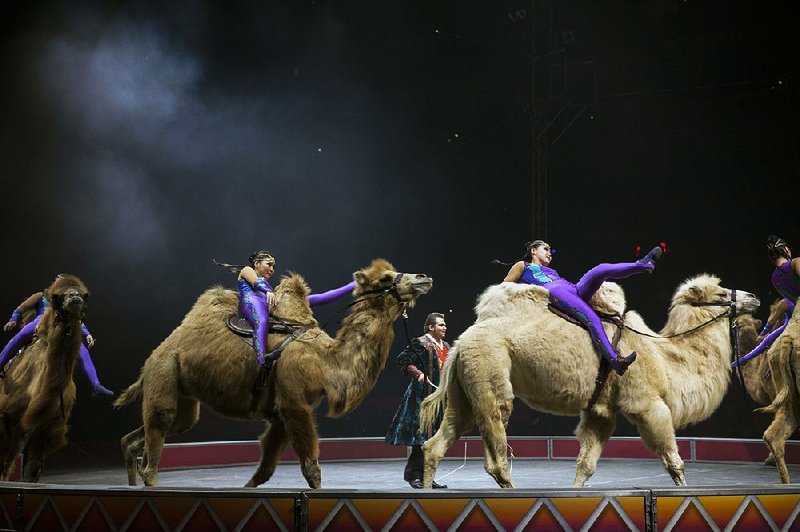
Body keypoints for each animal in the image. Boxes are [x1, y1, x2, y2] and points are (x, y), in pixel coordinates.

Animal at [0, 274, 90, 482]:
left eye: (84, 294)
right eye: (58, 297)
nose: (74, 296)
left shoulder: (48, 426)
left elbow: (34, 469)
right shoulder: (5, 413)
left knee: (11, 457)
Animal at [114, 260, 432, 488]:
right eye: (386, 279)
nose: (423, 277)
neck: (325, 361)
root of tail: (151, 359)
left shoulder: (280, 412)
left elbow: (265, 468)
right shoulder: (294, 403)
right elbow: (312, 468)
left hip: (184, 396)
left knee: (151, 433)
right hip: (164, 373)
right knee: (157, 432)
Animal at [422, 276, 760, 488]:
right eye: (720, 295)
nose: (754, 297)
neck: (664, 357)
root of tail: (459, 343)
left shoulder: (600, 412)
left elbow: (586, 465)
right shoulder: (648, 405)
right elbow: (673, 461)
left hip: (464, 391)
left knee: (435, 444)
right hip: (490, 377)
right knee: (495, 453)